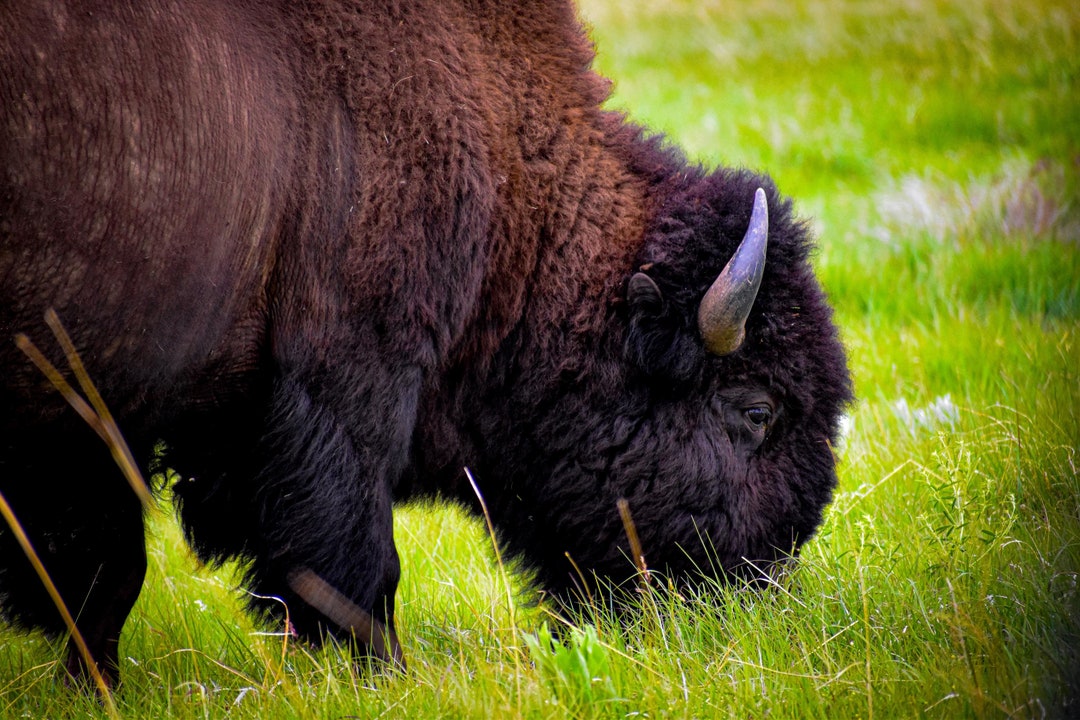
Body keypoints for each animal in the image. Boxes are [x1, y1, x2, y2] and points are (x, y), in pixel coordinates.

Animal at [0, 0, 852, 688]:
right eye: (756, 410)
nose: (758, 593)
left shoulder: (94, 423)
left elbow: (102, 571)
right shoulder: (346, 382)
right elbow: (350, 559)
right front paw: (385, 675)